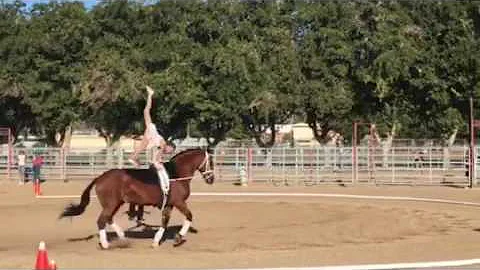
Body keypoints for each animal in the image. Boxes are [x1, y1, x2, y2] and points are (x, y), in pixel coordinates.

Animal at [60, 148, 216, 249]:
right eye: (211, 162)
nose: (211, 179)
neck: (176, 175)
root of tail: (100, 177)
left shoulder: (169, 204)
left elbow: (165, 222)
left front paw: (156, 241)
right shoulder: (179, 202)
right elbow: (189, 216)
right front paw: (178, 238)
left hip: (116, 203)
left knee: (108, 219)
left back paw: (123, 238)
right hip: (111, 204)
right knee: (101, 221)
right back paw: (105, 244)